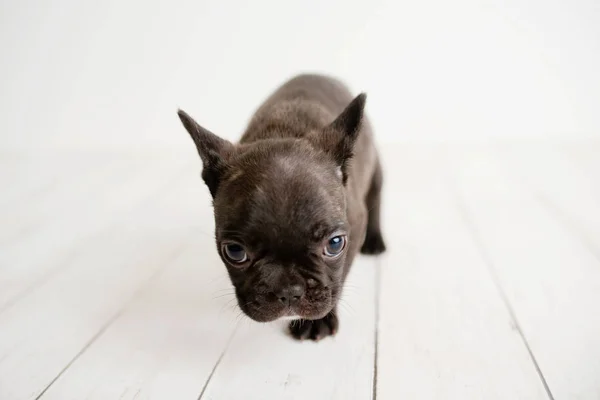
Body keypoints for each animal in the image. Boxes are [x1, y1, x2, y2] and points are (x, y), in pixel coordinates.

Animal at [176, 72, 386, 340]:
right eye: (234, 251)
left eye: (335, 244)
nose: (289, 290)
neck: (284, 130)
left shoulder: (356, 224)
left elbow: (338, 281)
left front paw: (319, 320)